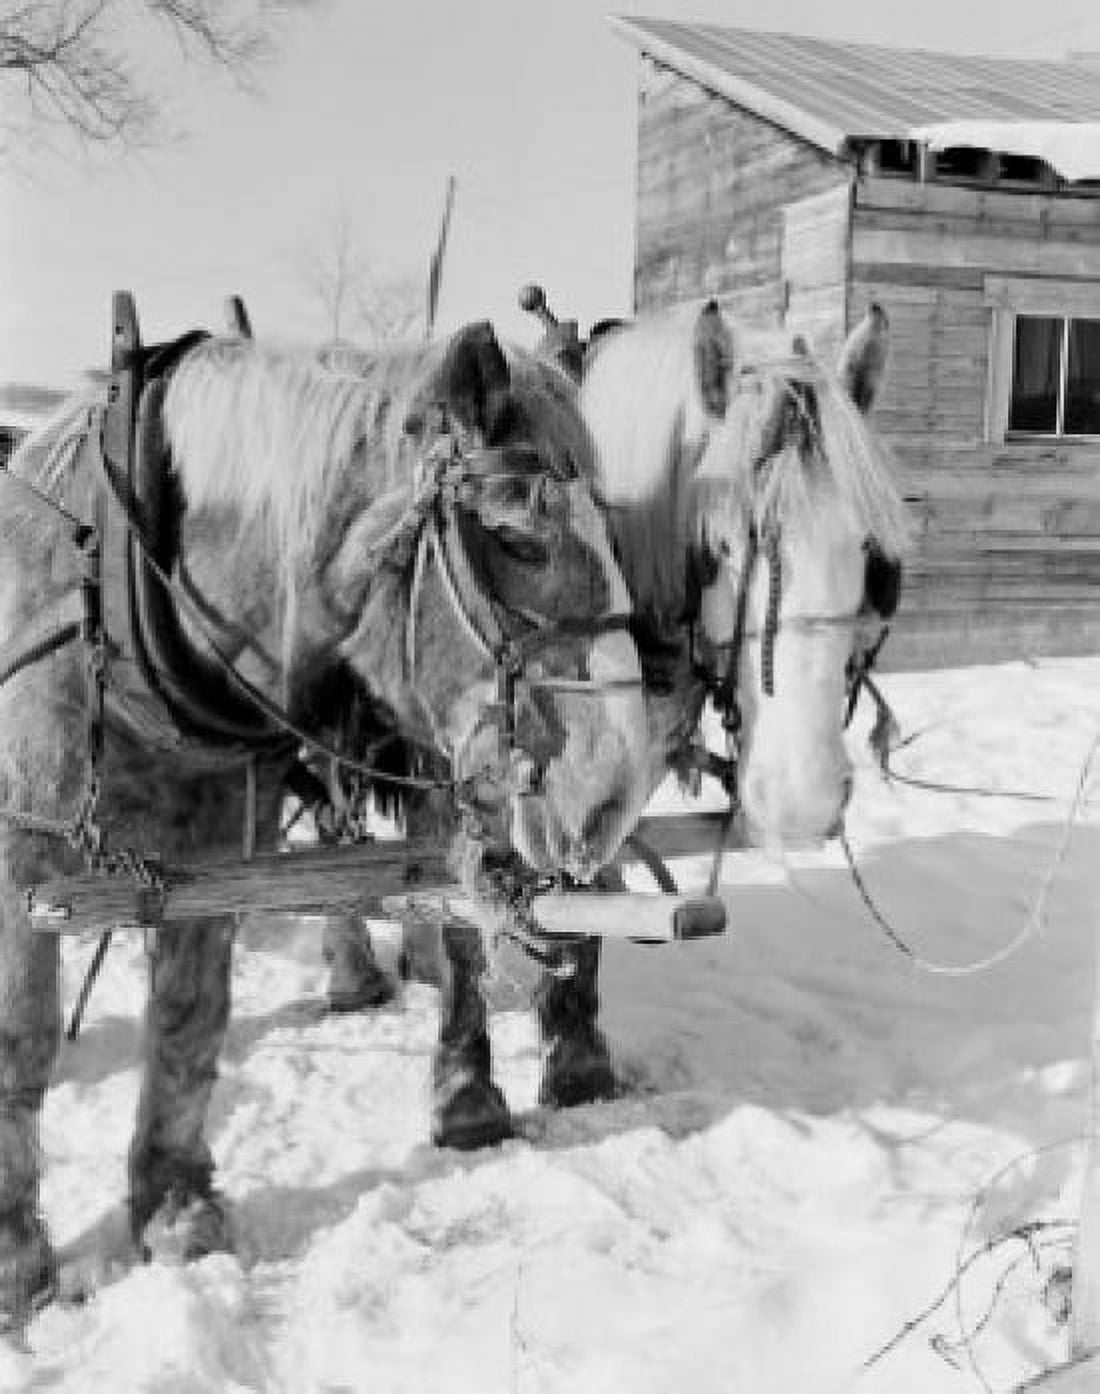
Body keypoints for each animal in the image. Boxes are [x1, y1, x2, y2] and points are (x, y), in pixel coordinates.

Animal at [0, 318, 652, 1325]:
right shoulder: (20, 859)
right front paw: (16, 1260)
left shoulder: (213, 852)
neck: (112, 594)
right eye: (515, 538)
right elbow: (20, 1045)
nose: (616, 786)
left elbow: (189, 1017)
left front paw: (174, 1208)